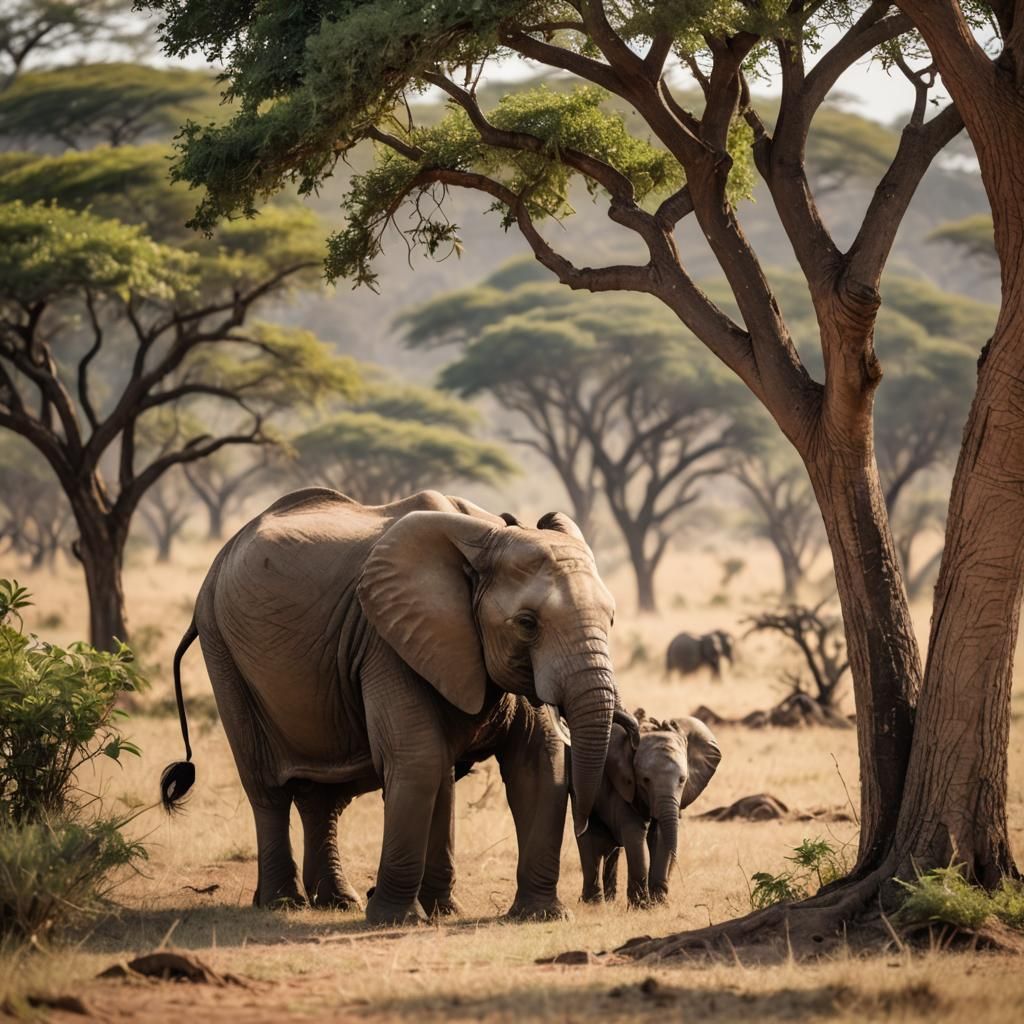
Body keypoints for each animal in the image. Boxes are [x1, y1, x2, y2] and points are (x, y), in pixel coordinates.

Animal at [160, 488, 637, 925]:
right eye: (527, 624)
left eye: (612, 619)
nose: (631, 727)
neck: (484, 539)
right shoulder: (385, 642)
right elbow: (419, 759)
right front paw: (397, 919)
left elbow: (541, 762)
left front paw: (537, 916)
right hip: (222, 648)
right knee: (268, 788)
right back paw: (284, 904)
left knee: (324, 796)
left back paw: (339, 902)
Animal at [575, 715, 721, 907]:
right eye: (645, 780)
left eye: (683, 780)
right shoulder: (624, 786)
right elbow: (634, 832)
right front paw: (641, 907)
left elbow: (660, 835)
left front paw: (658, 905)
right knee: (590, 839)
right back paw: (593, 904)